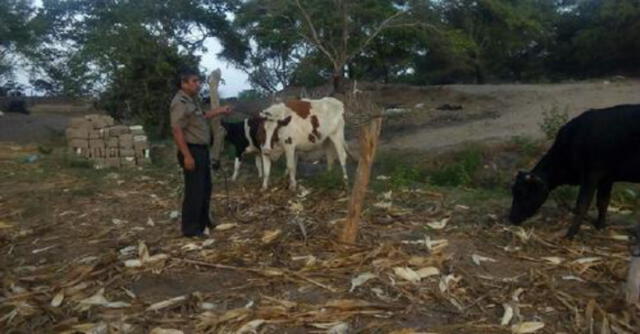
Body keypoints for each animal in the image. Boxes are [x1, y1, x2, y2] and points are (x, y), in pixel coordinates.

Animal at [510, 103, 640, 237]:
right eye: (513, 191)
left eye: (523, 193)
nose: (511, 218)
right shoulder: (607, 178)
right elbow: (602, 201)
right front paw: (599, 226)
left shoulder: (591, 175)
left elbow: (582, 205)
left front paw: (570, 234)